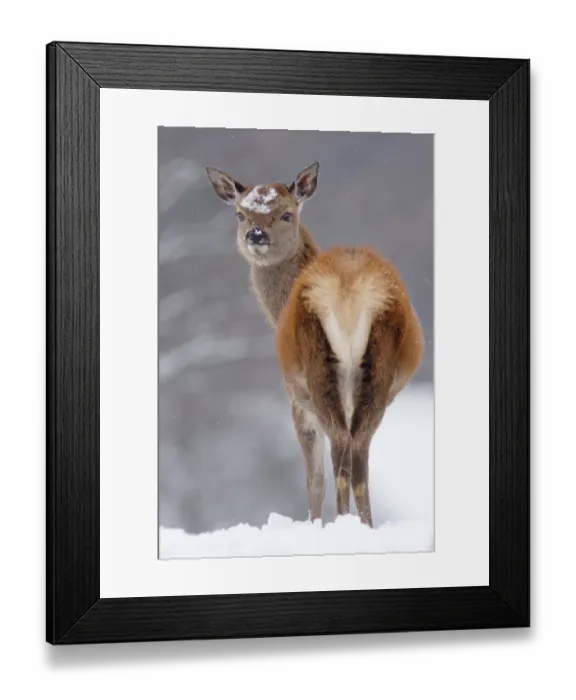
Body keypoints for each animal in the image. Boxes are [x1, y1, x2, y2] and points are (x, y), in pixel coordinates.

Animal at [205, 162, 424, 528]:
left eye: (286, 213)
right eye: (241, 214)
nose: (256, 235)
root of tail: (348, 287)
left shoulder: (297, 399)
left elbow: (314, 478)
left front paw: (314, 523)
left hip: (316, 364)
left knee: (341, 453)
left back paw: (341, 524)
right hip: (377, 368)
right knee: (359, 453)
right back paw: (364, 526)